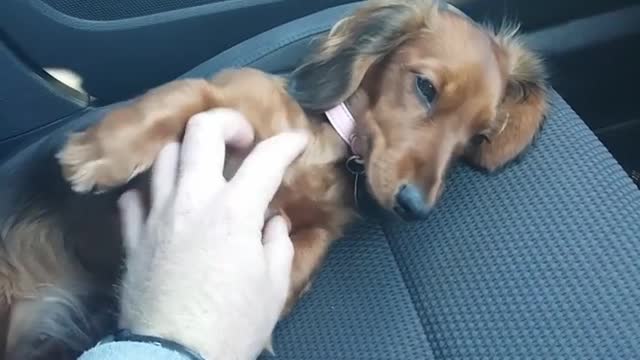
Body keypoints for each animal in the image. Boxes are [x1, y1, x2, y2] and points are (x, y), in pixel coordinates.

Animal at [1, 0, 552, 358]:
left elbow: (300, 255)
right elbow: (185, 94)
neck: (328, 147)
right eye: (425, 88)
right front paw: (102, 152)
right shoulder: (230, 96)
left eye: (477, 136)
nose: (415, 208)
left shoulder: (318, 229)